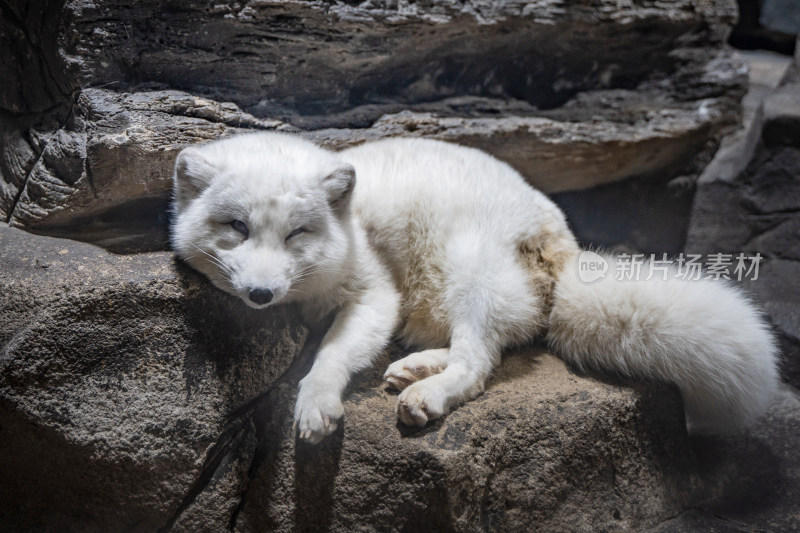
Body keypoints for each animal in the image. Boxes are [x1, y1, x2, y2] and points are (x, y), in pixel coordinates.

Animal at [172, 131, 780, 442]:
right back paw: (414, 368)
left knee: (479, 365)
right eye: (237, 227)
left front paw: (316, 403)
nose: (261, 295)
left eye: (297, 233)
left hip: (468, 267)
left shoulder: (376, 293)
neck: (355, 222)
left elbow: (331, 355)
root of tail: (564, 242)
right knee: (486, 347)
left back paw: (427, 391)